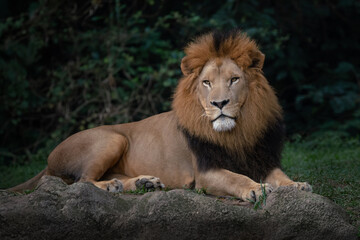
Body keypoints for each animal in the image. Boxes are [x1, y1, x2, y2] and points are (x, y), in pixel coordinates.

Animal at [10, 30, 312, 202]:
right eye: (206, 83)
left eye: (234, 79)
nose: (219, 103)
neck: (238, 132)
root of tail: (47, 161)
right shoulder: (205, 173)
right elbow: (236, 178)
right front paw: (257, 189)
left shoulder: (262, 159)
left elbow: (282, 176)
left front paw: (298, 186)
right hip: (112, 138)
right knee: (82, 182)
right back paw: (111, 187)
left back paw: (143, 183)